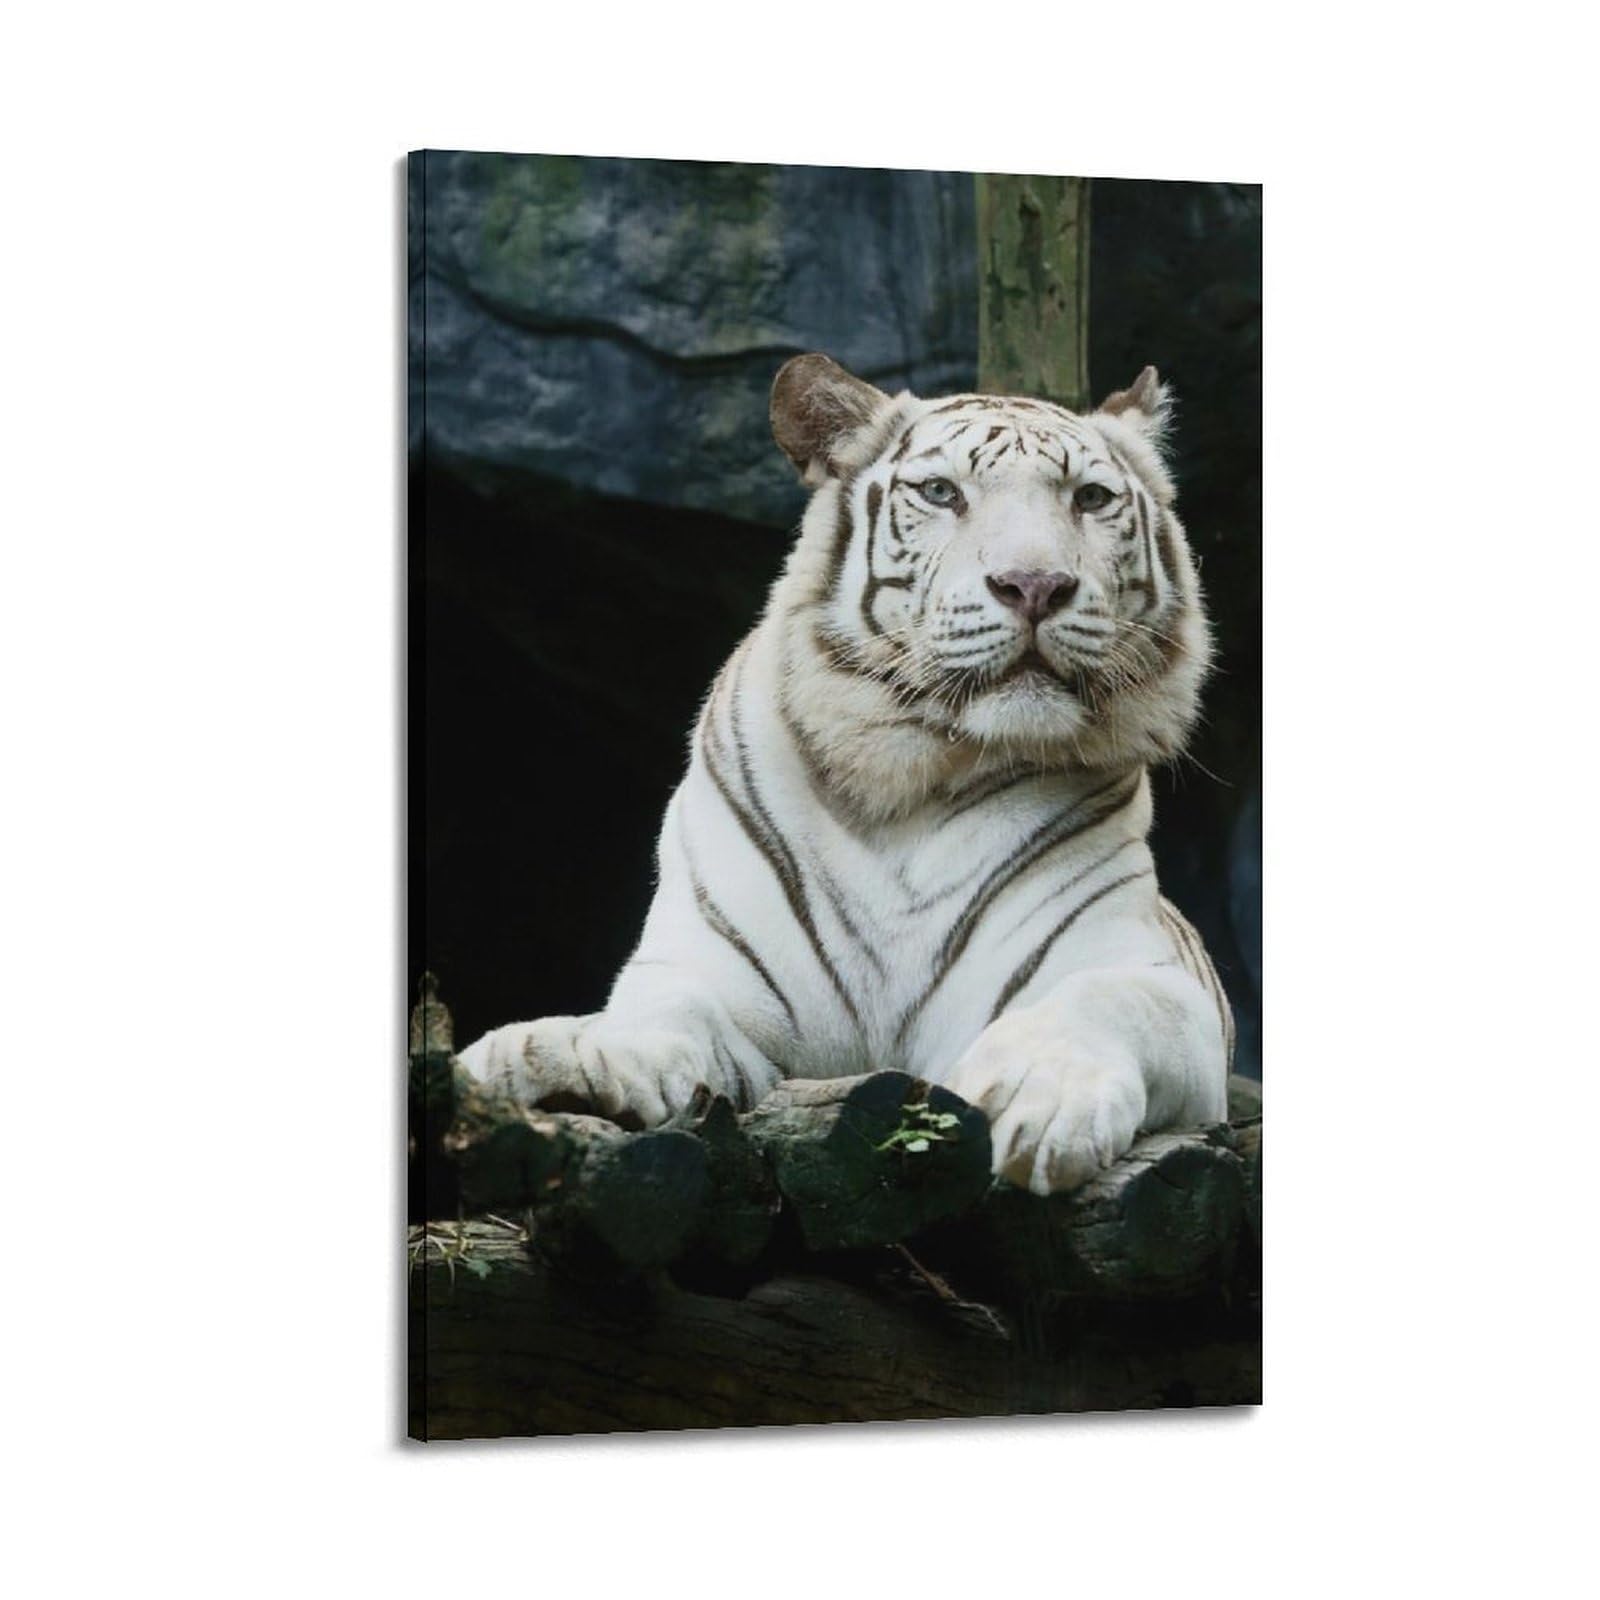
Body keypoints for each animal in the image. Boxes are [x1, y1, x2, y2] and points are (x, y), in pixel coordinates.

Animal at [457, 353, 1233, 1194]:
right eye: (941, 492)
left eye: (1090, 499)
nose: (1035, 585)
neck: (914, 785)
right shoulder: (715, 977)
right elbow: (658, 1017)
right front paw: (553, 1058)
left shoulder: (1141, 972)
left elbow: (1106, 1000)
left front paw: (1039, 1092)